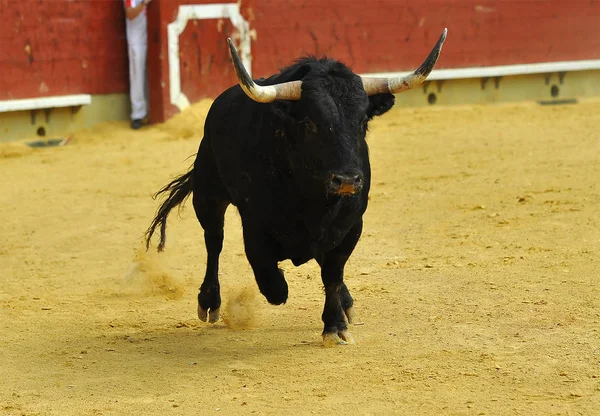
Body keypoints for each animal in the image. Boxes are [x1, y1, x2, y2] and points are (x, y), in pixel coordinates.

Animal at [144, 29, 446, 346]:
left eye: (363, 121)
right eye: (310, 123)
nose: (347, 180)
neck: (312, 196)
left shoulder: (351, 226)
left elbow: (332, 274)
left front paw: (335, 325)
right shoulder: (254, 227)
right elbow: (271, 279)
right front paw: (284, 291)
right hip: (208, 193)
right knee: (214, 240)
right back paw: (210, 301)